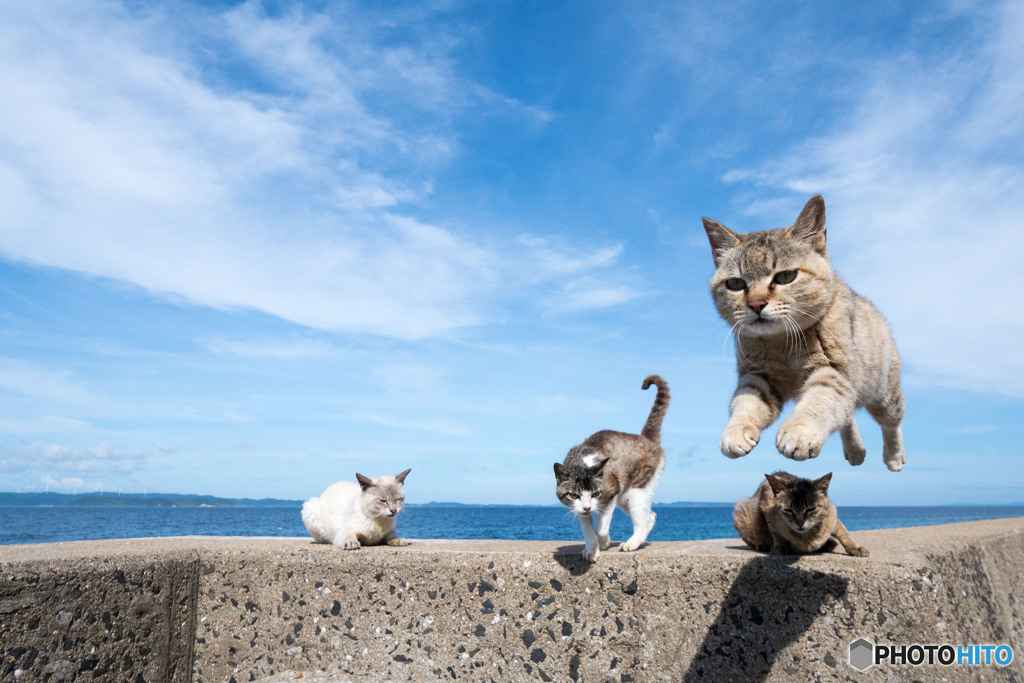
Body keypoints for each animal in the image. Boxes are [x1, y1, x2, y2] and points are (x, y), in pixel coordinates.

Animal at [552, 376, 671, 565]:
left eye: (595, 493)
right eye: (574, 495)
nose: (588, 507)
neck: (582, 462)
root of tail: (645, 437)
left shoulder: (611, 493)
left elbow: (601, 528)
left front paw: (603, 542)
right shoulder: (578, 508)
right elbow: (588, 530)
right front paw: (591, 548)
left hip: (638, 488)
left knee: (642, 518)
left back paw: (632, 543)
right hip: (625, 496)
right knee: (651, 515)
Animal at [704, 192, 905, 471]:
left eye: (785, 276)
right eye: (735, 283)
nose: (756, 304)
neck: (782, 342)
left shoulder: (832, 372)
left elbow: (818, 403)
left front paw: (799, 433)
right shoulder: (758, 378)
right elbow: (744, 404)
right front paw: (735, 431)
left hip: (885, 393)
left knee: (891, 422)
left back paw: (895, 457)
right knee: (847, 415)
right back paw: (855, 451)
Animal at [733, 473, 868, 557]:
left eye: (810, 509)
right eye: (788, 510)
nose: (800, 523)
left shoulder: (833, 517)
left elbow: (844, 534)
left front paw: (855, 547)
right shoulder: (766, 504)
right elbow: (776, 533)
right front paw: (780, 546)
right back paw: (762, 545)